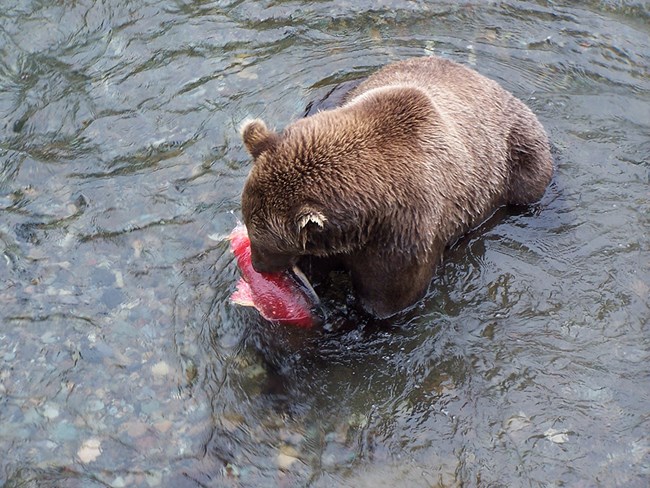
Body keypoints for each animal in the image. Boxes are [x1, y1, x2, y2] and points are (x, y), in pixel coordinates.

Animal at [238, 55, 552, 318]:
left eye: (264, 241)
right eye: (251, 226)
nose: (257, 264)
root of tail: (490, 82)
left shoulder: (404, 238)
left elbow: (386, 301)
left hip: (520, 153)